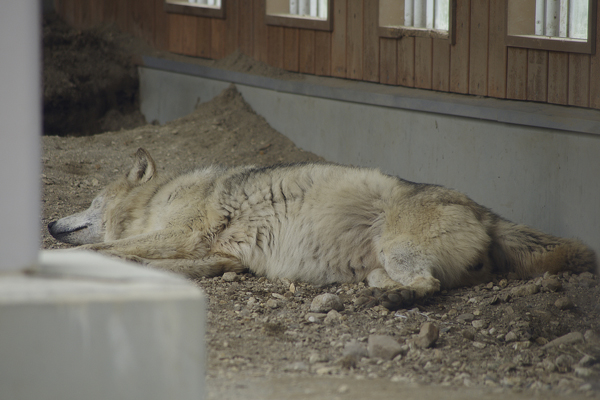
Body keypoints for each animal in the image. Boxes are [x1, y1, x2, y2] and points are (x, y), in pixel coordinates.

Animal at [49, 148, 596, 308]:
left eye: (90, 201)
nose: (50, 221)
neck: (155, 199)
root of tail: (484, 210)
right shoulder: (220, 255)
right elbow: (138, 256)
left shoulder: (181, 234)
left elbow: (112, 249)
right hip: (382, 261)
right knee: (420, 282)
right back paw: (384, 295)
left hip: (395, 247)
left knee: (428, 285)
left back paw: (395, 301)